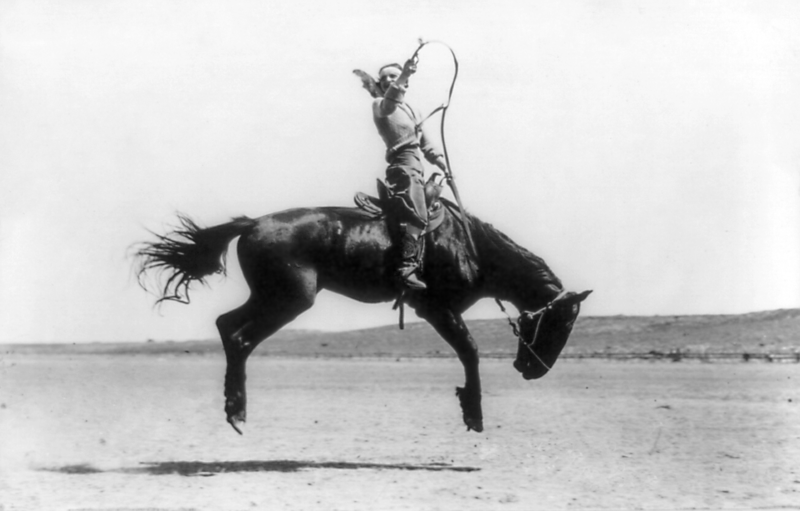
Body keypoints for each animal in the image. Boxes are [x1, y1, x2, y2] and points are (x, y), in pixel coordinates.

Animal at [136, 193, 588, 436]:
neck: (469, 245)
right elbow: (470, 352)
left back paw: (234, 407)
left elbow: (468, 352)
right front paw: (473, 413)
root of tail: (252, 223)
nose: (534, 369)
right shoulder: (437, 309)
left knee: (226, 325)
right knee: (241, 337)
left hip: (270, 297)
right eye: (563, 321)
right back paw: (237, 411)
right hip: (289, 299)